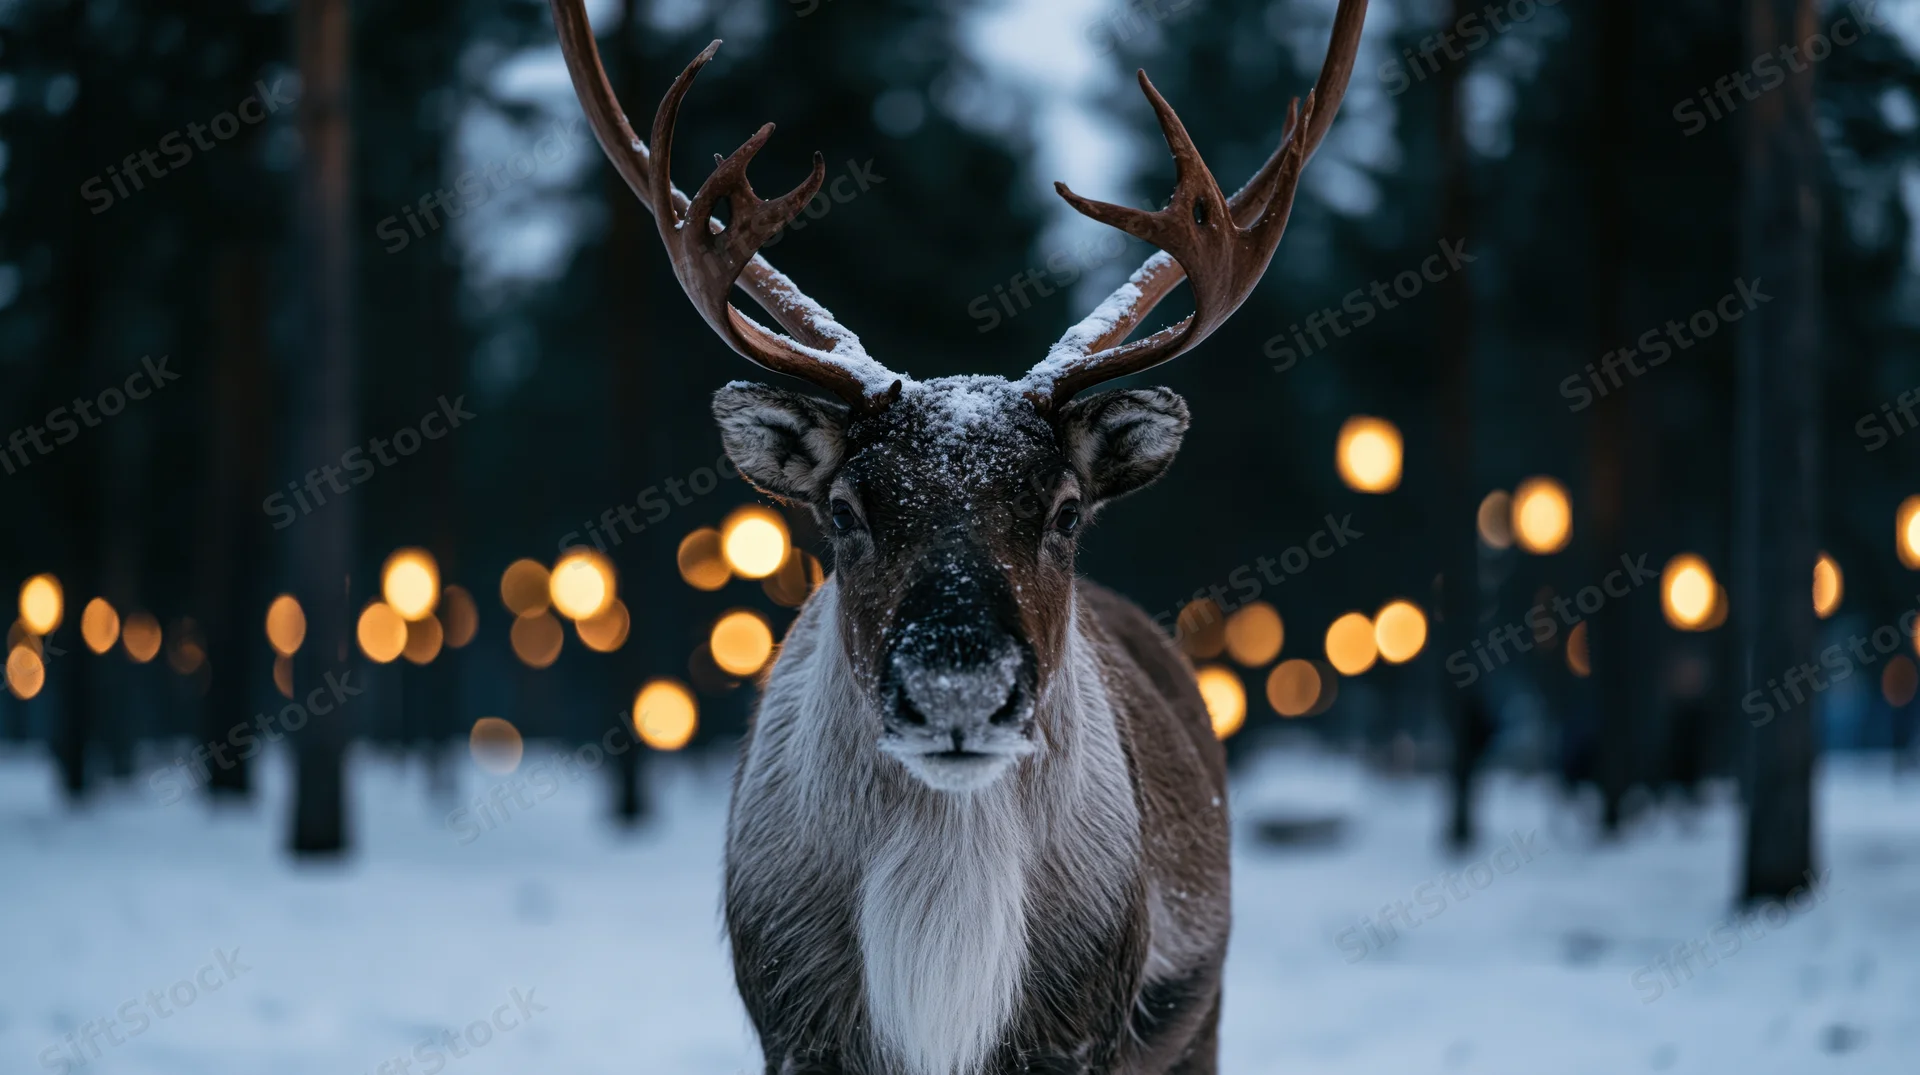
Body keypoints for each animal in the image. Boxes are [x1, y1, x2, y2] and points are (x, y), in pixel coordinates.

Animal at [549, 2, 1366, 1071]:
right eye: (844, 510)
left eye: (1066, 509)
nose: (957, 690)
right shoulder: (794, 1030)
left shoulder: (1083, 1032)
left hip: (1201, 1018)